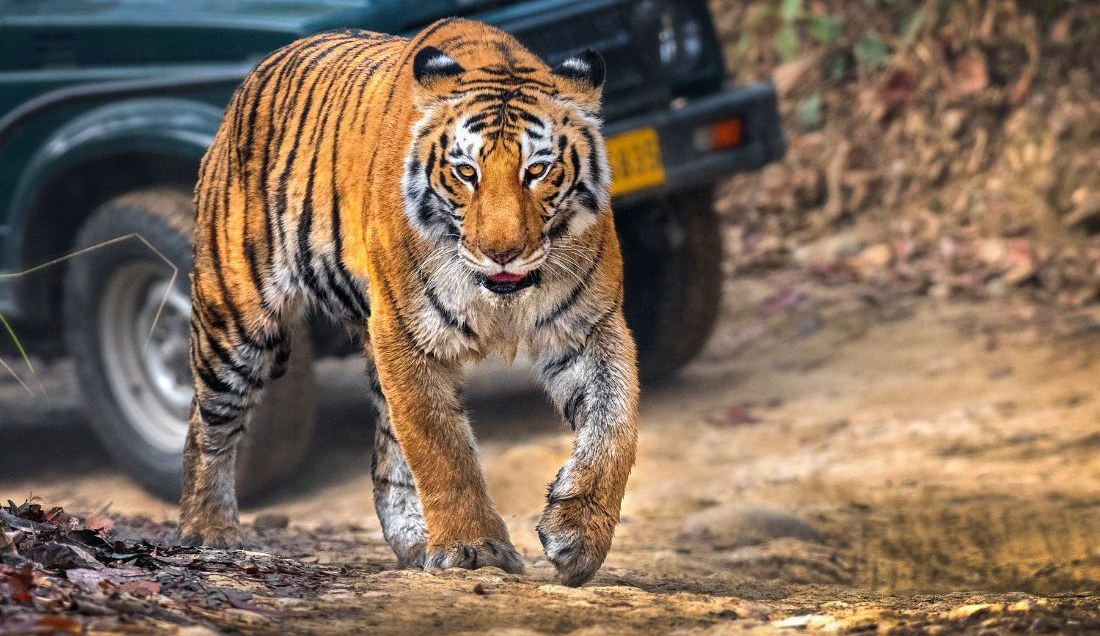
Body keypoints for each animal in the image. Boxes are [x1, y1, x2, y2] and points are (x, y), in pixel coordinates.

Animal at [179, 17, 639, 587]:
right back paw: (209, 532)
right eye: (466, 173)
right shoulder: (408, 333)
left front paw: (577, 536)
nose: (502, 253)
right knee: (207, 426)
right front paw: (472, 547)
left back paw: (415, 540)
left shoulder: (590, 327)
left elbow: (615, 427)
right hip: (233, 318)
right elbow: (440, 444)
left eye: (537, 171)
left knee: (385, 456)